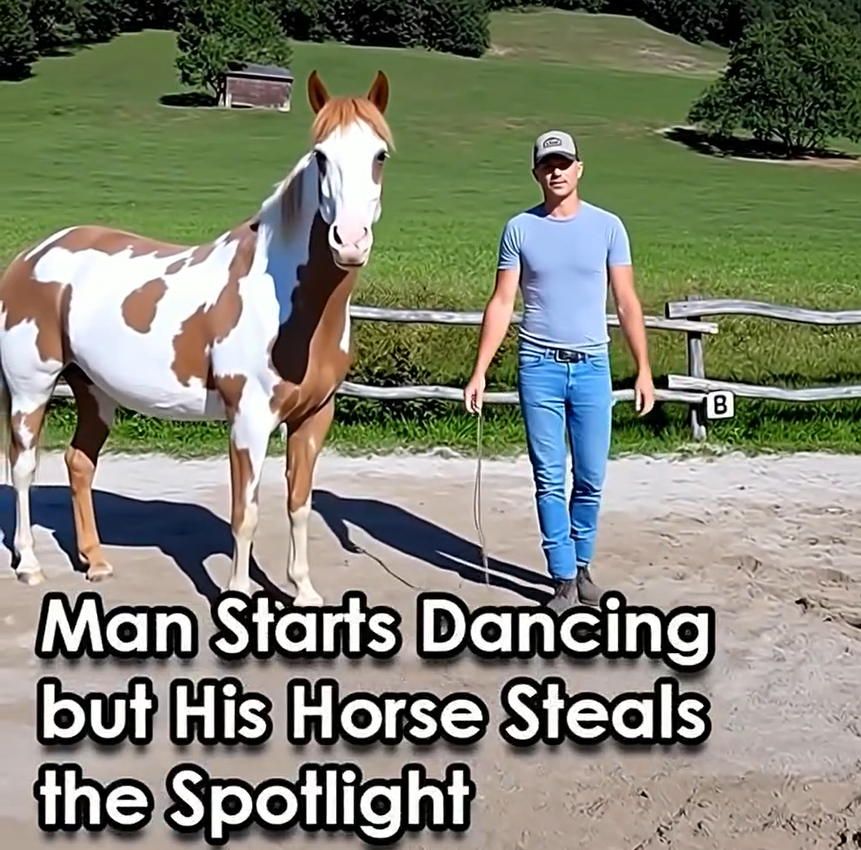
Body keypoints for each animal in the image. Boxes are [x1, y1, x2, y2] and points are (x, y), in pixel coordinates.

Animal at [0, 69, 393, 606]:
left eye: (380, 155)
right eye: (320, 155)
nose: (350, 241)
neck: (289, 304)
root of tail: (30, 256)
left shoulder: (314, 417)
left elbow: (299, 505)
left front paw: (305, 592)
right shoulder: (249, 420)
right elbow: (245, 513)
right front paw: (239, 597)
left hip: (93, 391)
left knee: (80, 463)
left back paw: (96, 563)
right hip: (31, 389)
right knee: (23, 468)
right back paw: (30, 566)